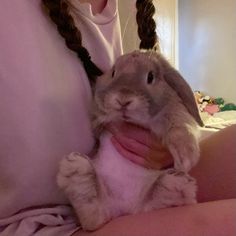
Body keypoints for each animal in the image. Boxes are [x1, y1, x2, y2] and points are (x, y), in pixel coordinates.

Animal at [56, 50, 203, 230]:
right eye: (113, 73)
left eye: (151, 77)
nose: (123, 99)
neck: (131, 121)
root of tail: (125, 209)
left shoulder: (174, 113)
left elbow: (178, 126)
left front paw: (185, 158)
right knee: (93, 219)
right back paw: (76, 169)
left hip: (149, 204)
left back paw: (176, 184)